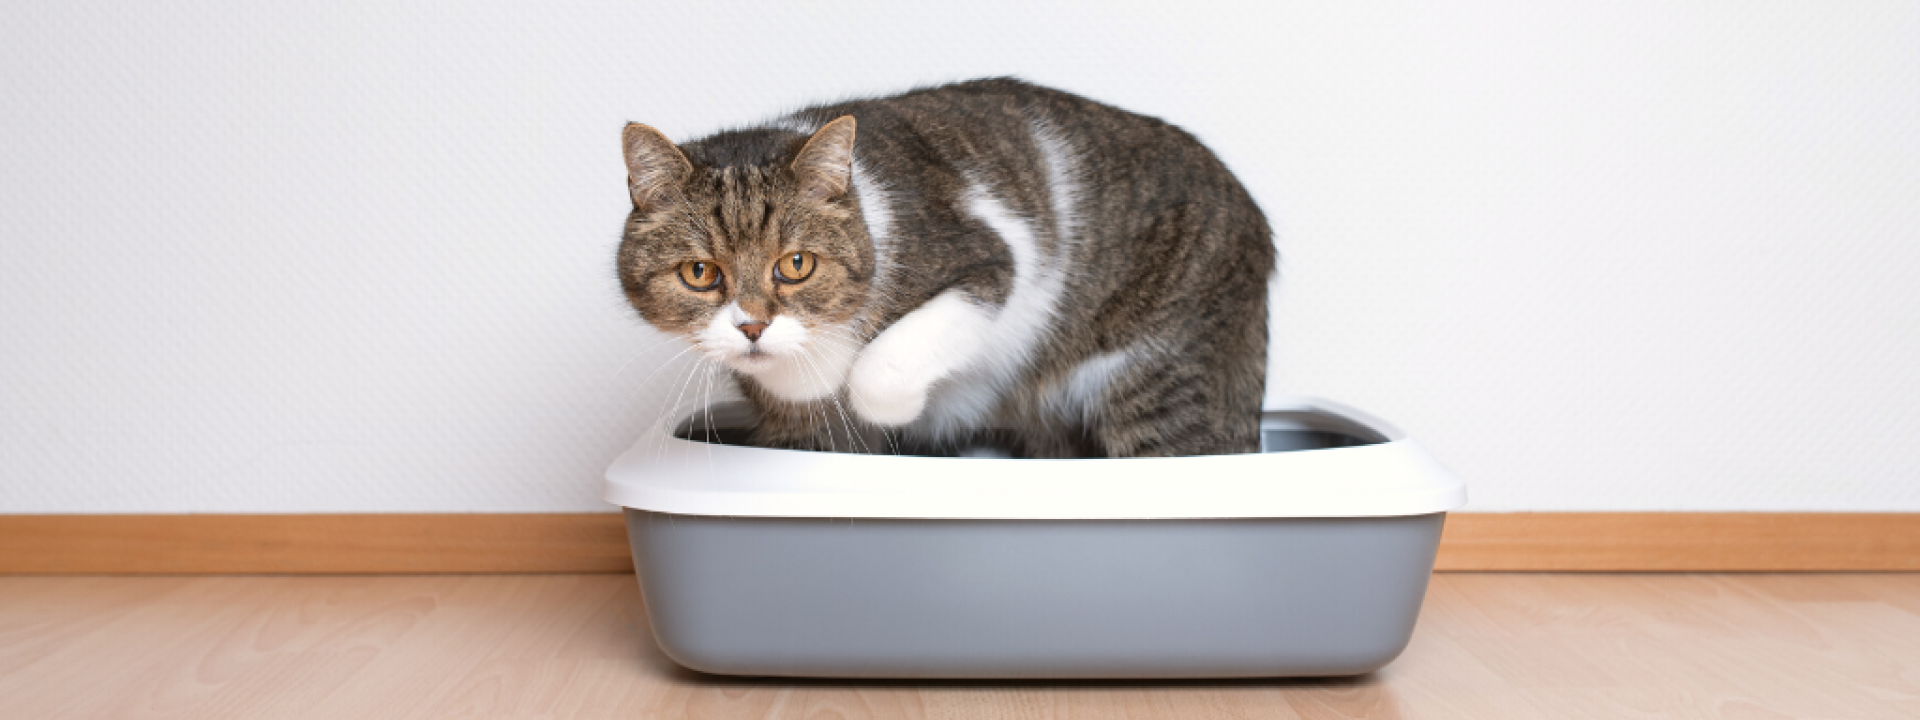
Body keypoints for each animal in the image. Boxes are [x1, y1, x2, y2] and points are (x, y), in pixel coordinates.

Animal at [618, 74, 1274, 456]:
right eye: (700, 274)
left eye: (796, 264)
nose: (753, 326)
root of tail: (1259, 221)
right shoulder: (796, 432)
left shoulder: (994, 257)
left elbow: (878, 373)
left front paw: (890, 404)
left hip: (1164, 375)